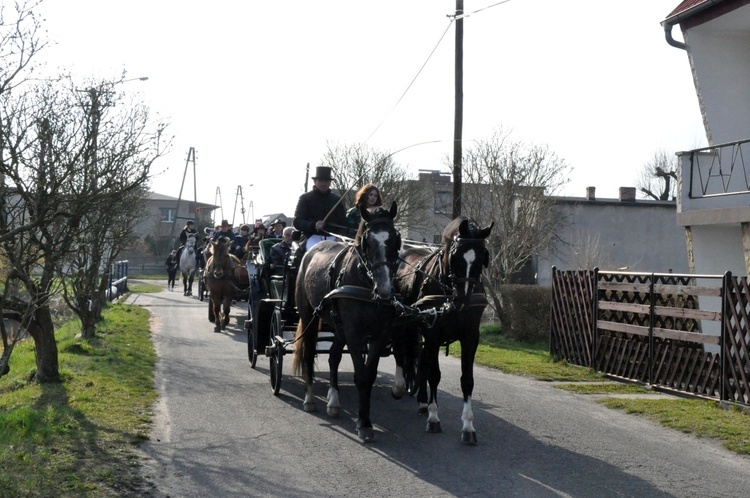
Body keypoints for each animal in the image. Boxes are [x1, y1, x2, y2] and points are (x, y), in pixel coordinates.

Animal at [292, 200, 402, 442]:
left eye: (395, 239)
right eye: (367, 241)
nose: (385, 288)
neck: (366, 282)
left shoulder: (379, 334)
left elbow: (369, 375)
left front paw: (365, 420)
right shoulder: (354, 333)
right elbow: (360, 376)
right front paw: (363, 423)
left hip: (338, 326)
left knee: (333, 356)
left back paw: (333, 401)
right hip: (309, 316)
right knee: (308, 352)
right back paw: (310, 398)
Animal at [394, 216, 494, 446]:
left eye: (481, 257)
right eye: (456, 255)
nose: (462, 300)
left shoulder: (470, 337)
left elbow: (467, 380)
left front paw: (468, 426)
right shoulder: (433, 335)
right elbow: (434, 374)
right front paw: (434, 418)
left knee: (420, 360)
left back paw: (422, 401)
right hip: (407, 324)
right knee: (405, 353)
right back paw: (404, 387)